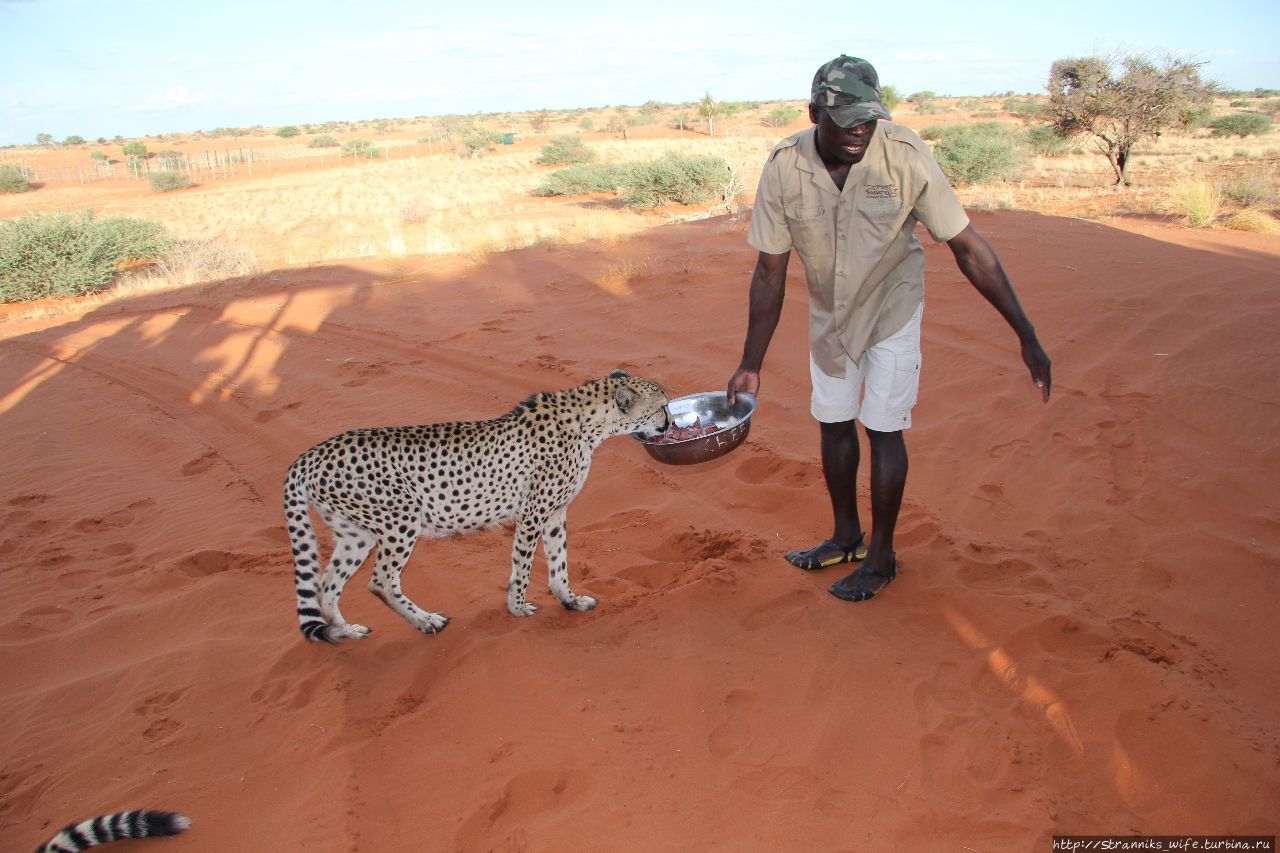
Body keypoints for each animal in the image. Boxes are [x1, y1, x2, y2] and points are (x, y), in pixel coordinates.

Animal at [285, 368, 670, 640]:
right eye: (662, 407)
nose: (669, 423)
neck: (587, 422)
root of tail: (310, 455)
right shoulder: (533, 513)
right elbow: (523, 566)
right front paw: (517, 608)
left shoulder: (555, 513)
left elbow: (559, 563)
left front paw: (570, 600)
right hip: (400, 521)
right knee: (380, 581)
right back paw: (426, 621)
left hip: (357, 534)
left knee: (327, 584)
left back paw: (346, 631)